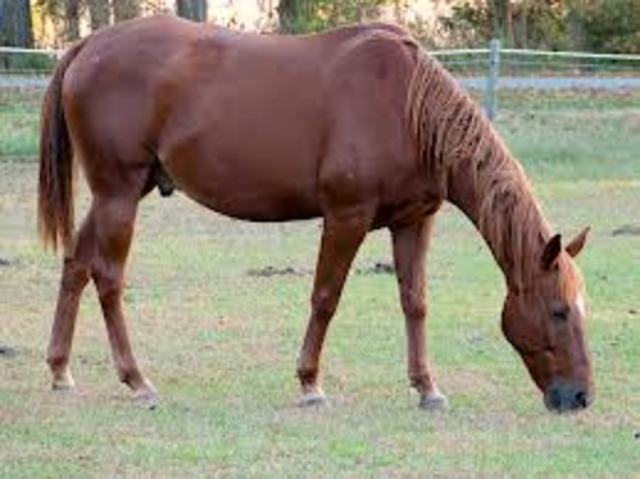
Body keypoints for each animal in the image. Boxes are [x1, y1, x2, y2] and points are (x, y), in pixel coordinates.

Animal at [39, 15, 593, 412]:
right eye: (558, 311)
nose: (580, 397)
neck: (406, 106)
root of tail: (88, 46)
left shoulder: (413, 220)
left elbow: (414, 302)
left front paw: (426, 388)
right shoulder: (347, 216)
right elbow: (326, 297)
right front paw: (309, 384)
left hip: (119, 194)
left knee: (76, 265)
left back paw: (60, 370)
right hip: (118, 193)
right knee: (108, 277)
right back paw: (136, 380)